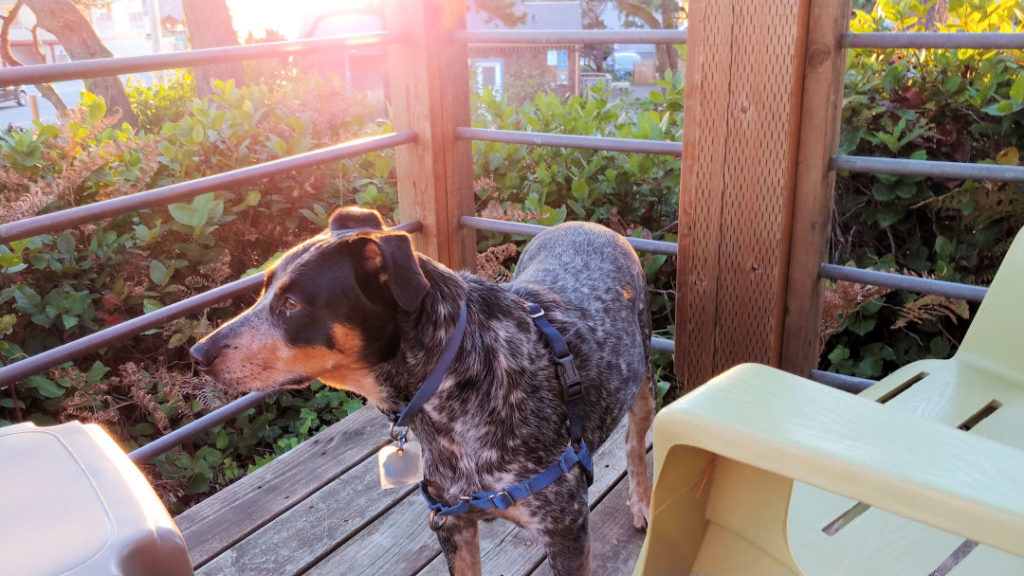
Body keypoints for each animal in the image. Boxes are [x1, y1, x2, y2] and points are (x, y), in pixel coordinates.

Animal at [192, 206, 655, 573]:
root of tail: (588, 224)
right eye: (264, 289)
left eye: (291, 304)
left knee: (635, 443)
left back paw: (643, 503)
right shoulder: (451, 522)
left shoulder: (565, 530)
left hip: (644, 378)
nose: (198, 353)